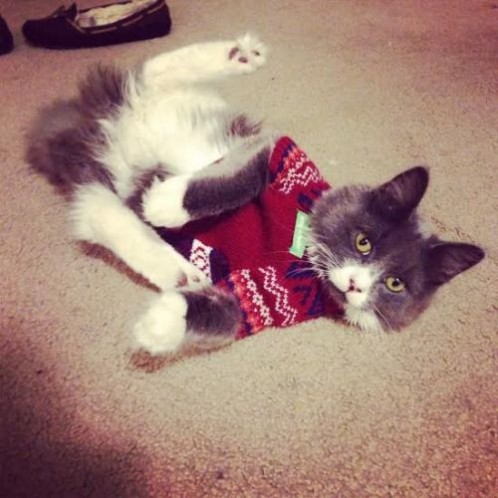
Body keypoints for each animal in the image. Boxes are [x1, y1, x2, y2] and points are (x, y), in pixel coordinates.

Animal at [29, 34, 484, 354]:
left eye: (393, 285)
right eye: (363, 242)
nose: (357, 283)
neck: (301, 259)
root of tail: (98, 127)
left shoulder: (260, 298)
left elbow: (223, 314)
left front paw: (159, 325)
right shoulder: (273, 149)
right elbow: (231, 182)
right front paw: (165, 203)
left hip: (103, 191)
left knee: (101, 219)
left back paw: (176, 270)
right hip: (164, 97)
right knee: (154, 70)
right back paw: (240, 55)